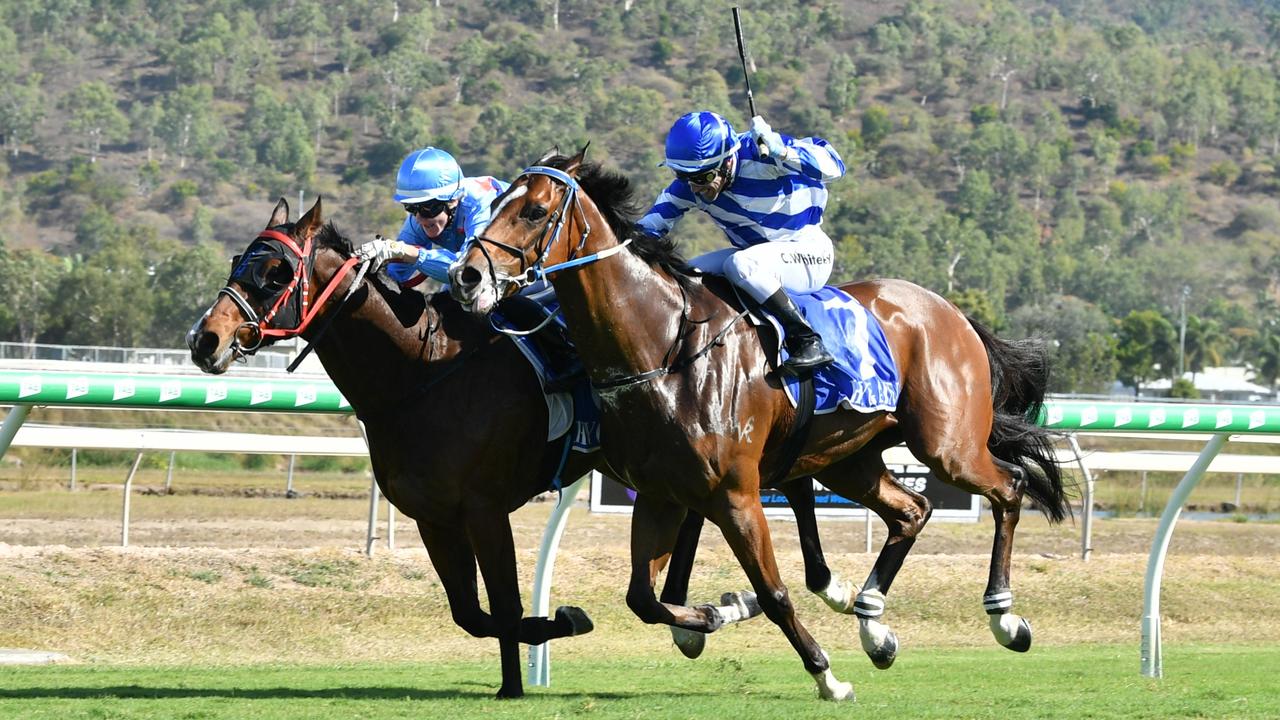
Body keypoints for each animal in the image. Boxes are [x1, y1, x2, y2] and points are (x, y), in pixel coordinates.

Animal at [450, 152, 1070, 702]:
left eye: (533, 210)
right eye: (496, 203)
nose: (466, 276)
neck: (664, 348)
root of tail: (951, 311)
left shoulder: (736, 493)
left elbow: (772, 593)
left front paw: (826, 677)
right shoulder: (661, 494)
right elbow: (642, 599)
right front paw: (716, 611)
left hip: (948, 446)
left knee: (1010, 488)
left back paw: (1005, 618)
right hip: (850, 460)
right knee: (912, 510)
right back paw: (873, 624)